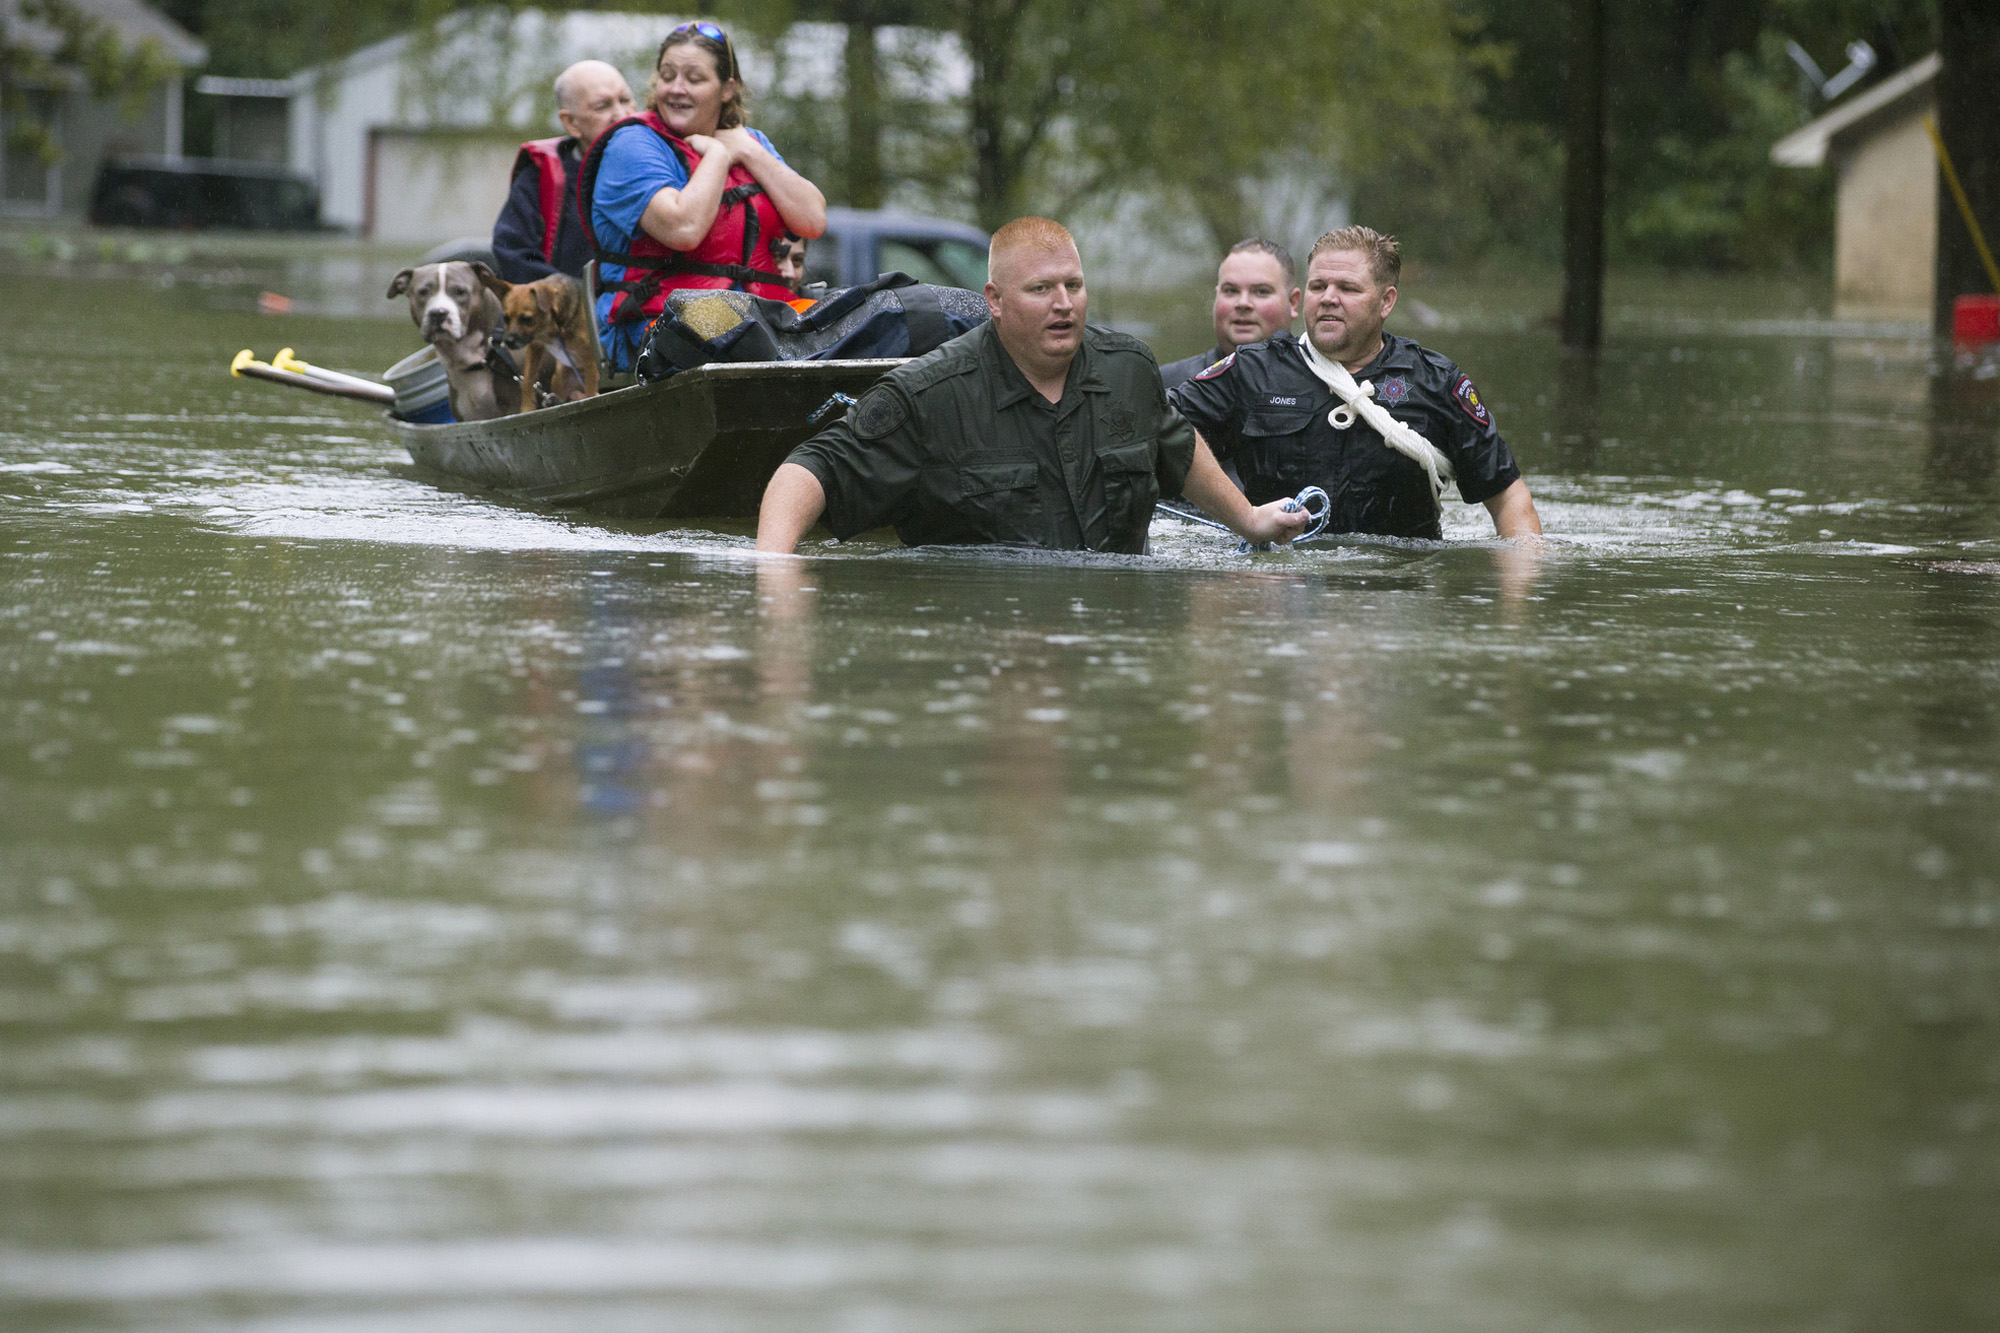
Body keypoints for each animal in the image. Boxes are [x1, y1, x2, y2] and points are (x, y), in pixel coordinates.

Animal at [478, 268, 600, 410]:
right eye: (506, 318)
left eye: (527, 319)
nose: (508, 341)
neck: (554, 329)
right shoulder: (535, 346)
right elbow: (527, 381)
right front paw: (526, 409)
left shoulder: (589, 360)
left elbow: (590, 391)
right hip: (560, 378)